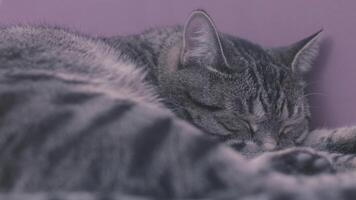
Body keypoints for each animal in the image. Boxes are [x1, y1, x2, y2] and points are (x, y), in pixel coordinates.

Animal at [0, 8, 356, 199]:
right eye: (239, 120)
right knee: (248, 185)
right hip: (123, 122)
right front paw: (335, 157)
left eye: (289, 125)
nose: (274, 143)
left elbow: (318, 136)